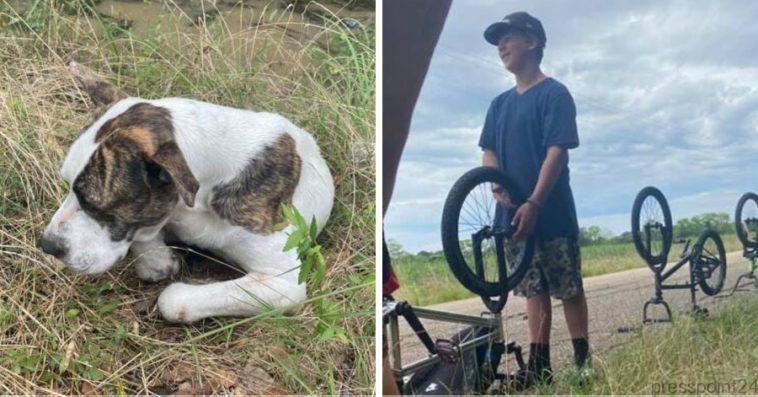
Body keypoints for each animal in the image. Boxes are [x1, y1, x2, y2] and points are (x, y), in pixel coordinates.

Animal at [39, 62, 336, 322]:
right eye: (66, 184)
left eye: (93, 205)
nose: (47, 245)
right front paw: (158, 258)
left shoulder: (283, 282)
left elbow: (172, 300)